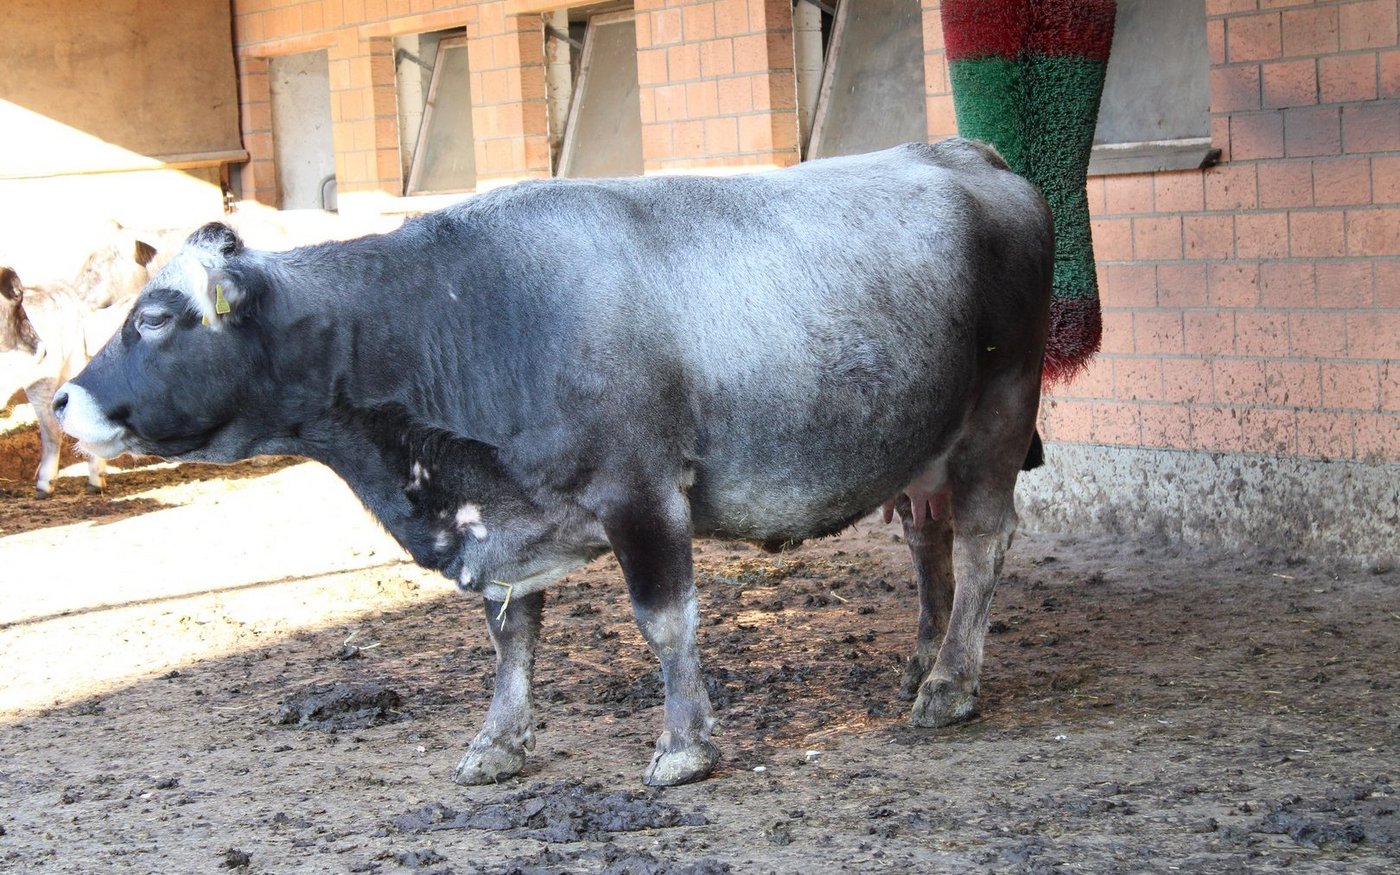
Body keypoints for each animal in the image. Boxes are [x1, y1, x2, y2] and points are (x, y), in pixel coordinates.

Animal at [56, 139, 1055, 787]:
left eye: (154, 317)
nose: (64, 400)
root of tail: (968, 154)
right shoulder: (501, 520)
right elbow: (512, 639)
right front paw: (499, 743)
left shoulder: (642, 490)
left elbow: (665, 621)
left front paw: (684, 746)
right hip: (919, 447)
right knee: (929, 547)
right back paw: (921, 664)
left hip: (998, 420)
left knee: (981, 545)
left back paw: (951, 684)